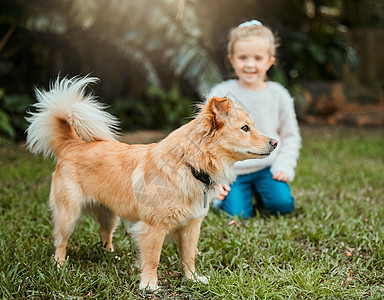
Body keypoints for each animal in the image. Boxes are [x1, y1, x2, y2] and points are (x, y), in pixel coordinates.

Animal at [25, 76, 278, 290]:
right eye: (245, 128)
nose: (275, 142)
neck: (189, 165)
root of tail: (71, 144)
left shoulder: (191, 226)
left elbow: (189, 256)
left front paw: (192, 279)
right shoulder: (153, 228)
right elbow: (153, 259)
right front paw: (149, 284)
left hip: (110, 214)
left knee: (103, 232)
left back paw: (110, 254)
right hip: (69, 214)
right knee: (60, 240)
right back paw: (59, 265)